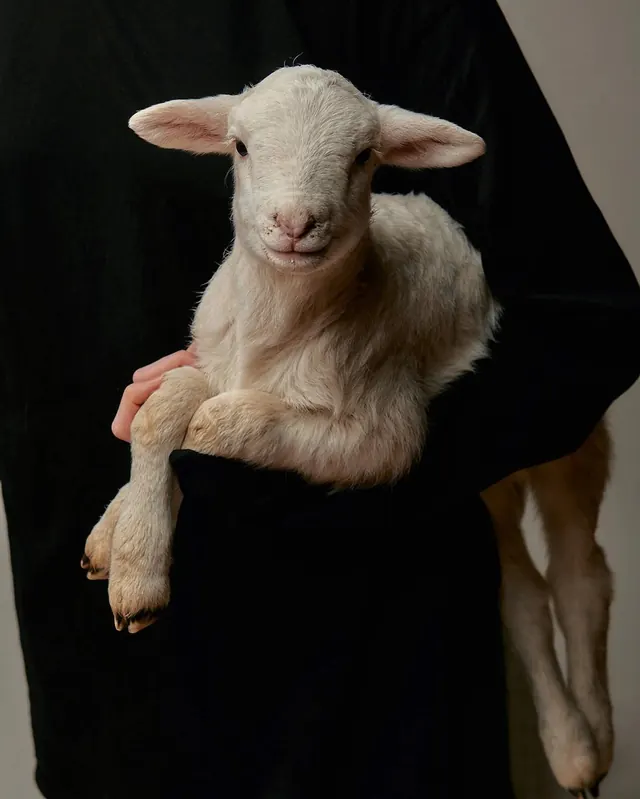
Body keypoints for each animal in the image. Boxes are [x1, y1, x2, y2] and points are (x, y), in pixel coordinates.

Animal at [80, 65, 612, 797]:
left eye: (364, 157)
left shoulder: (382, 433)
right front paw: (128, 552)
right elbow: (164, 406)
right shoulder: (212, 358)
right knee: (524, 594)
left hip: (565, 430)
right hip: (487, 479)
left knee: (581, 574)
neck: (279, 329)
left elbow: (215, 423)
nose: (295, 223)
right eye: (240, 146)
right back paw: (569, 743)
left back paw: (590, 741)